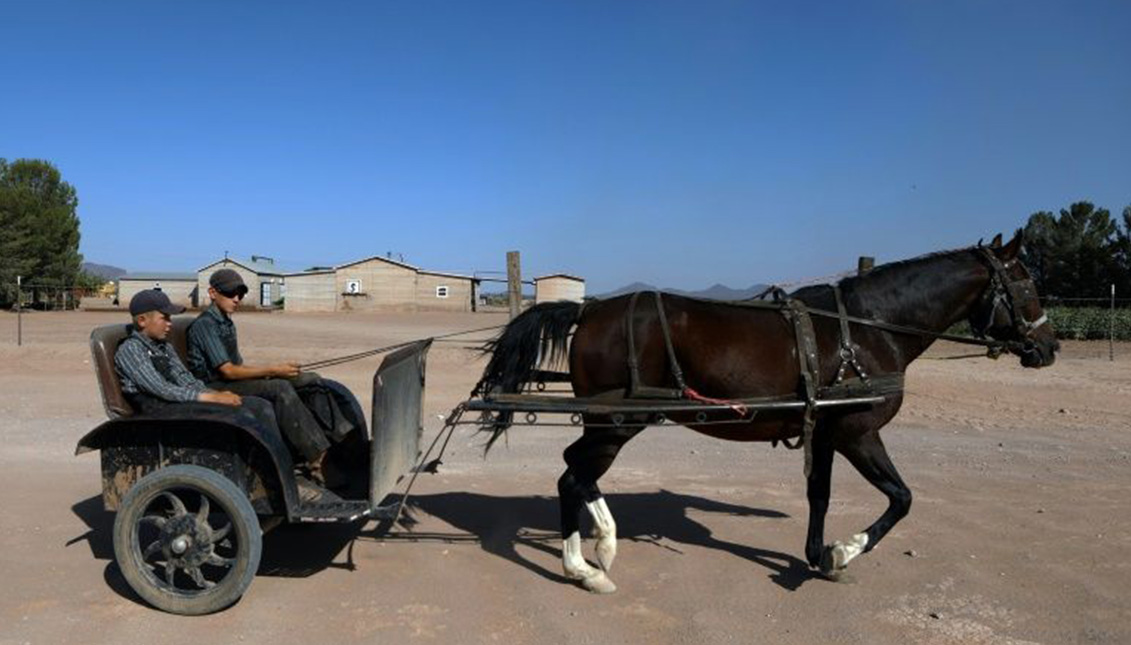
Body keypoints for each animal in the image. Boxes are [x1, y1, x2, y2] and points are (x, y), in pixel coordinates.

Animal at [472, 231, 1054, 592]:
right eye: (1027, 282)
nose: (1048, 348)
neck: (866, 331)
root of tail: (588, 310)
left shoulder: (825, 433)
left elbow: (819, 495)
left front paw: (818, 555)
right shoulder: (858, 433)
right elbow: (902, 498)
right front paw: (844, 551)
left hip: (608, 423)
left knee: (577, 471)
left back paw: (603, 543)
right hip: (617, 422)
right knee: (573, 476)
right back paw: (584, 568)